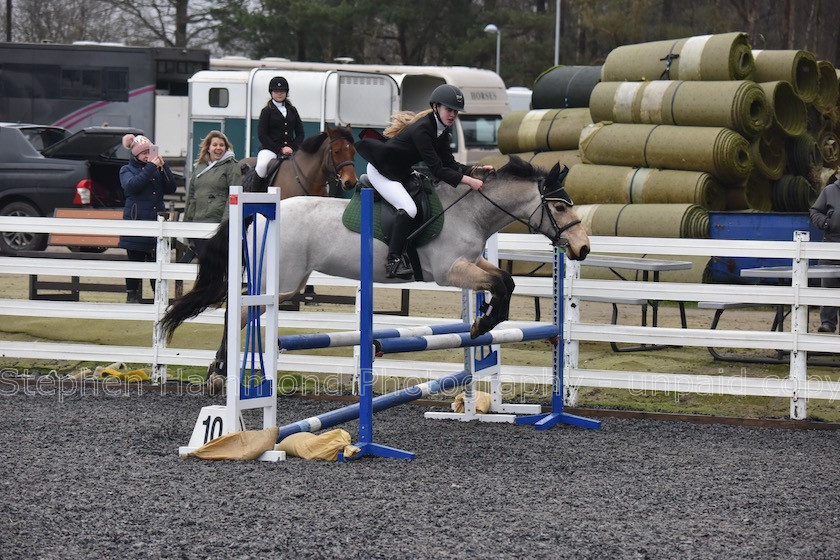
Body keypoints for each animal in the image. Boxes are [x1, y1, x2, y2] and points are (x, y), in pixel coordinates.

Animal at [161, 155, 588, 382]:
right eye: (560, 206)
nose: (582, 248)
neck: (469, 211)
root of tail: (263, 211)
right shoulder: (450, 271)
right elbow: (500, 284)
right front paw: (484, 322)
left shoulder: (472, 262)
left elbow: (506, 280)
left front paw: (483, 321)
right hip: (282, 281)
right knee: (241, 310)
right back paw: (219, 370)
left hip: (286, 282)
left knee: (241, 309)